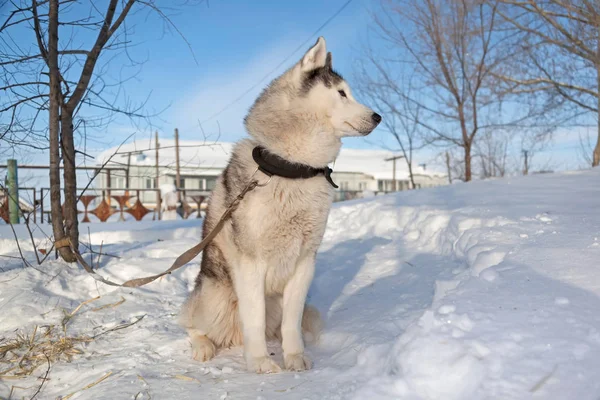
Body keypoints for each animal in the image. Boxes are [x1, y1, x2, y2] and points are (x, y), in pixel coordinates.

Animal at [180, 36, 382, 374]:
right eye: (341, 93)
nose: (378, 117)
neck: (292, 169)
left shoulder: (305, 262)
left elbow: (291, 321)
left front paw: (294, 356)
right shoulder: (252, 263)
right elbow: (254, 318)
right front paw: (260, 361)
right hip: (214, 297)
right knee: (191, 323)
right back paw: (203, 346)